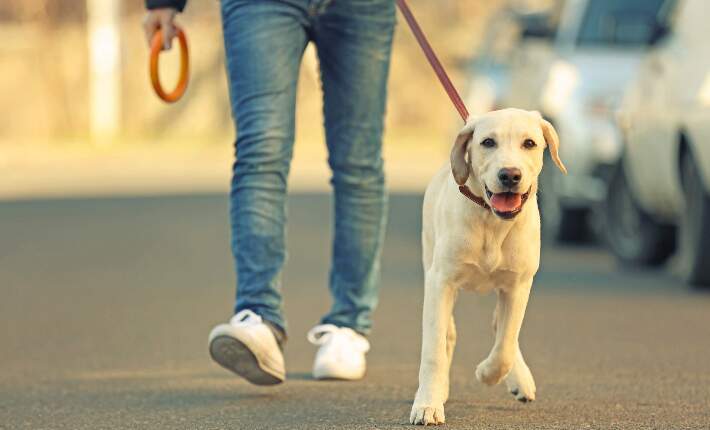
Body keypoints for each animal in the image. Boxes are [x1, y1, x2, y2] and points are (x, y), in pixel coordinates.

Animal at [412, 109, 568, 424]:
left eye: (529, 143)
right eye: (487, 142)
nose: (509, 175)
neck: (492, 223)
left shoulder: (518, 285)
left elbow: (506, 343)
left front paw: (487, 373)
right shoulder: (440, 282)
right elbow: (434, 349)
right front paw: (428, 403)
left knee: (503, 327)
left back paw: (520, 379)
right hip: (431, 261)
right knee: (448, 334)